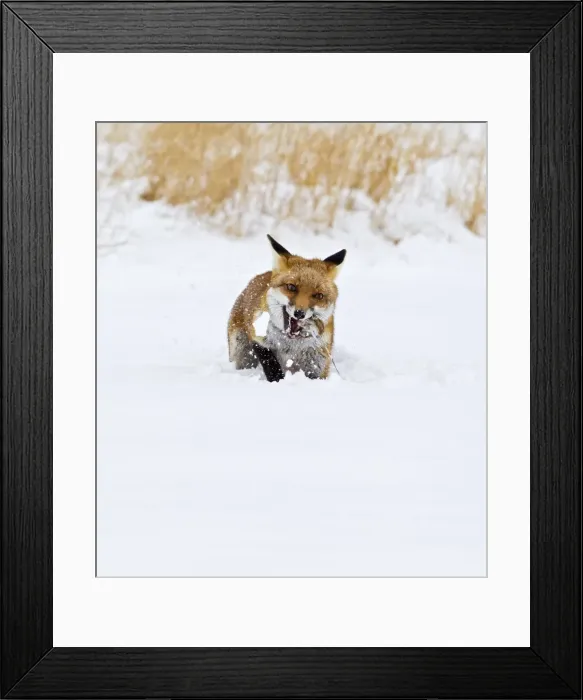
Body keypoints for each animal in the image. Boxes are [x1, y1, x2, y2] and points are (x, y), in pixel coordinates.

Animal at [228, 235, 346, 382]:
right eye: (291, 287)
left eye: (319, 295)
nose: (300, 313)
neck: (291, 344)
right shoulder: (259, 339)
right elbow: (272, 366)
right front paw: (278, 381)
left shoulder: (317, 359)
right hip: (242, 352)